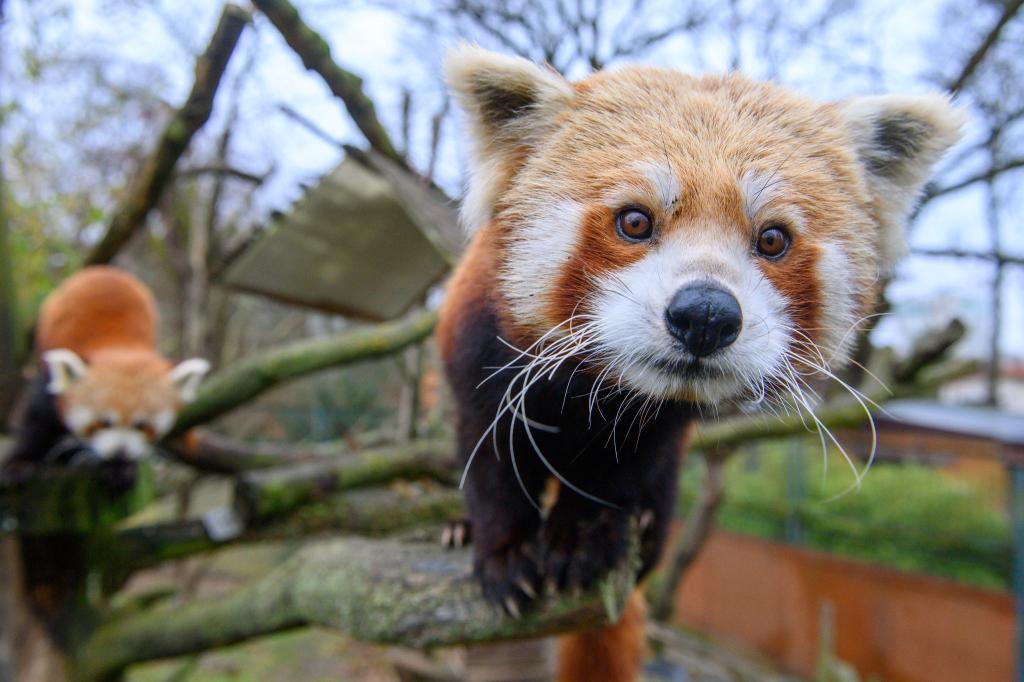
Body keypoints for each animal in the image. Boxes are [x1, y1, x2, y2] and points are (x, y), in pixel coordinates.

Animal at [4, 266, 209, 473]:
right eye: (104, 422)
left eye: (141, 425)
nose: (120, 453)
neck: (120, 347)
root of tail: (104, 270)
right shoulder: (49, 385)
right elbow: (37, 419)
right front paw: (22, 460)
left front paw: (123, 469)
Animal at [438, 45, 958, 675]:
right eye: (634, 221)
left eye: (773, 239)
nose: (706, 315)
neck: (594, 389)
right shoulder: (482, 349)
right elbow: (491, 454)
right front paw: (504, 552)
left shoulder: (663, 424)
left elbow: (629, 463)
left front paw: (586, 533)